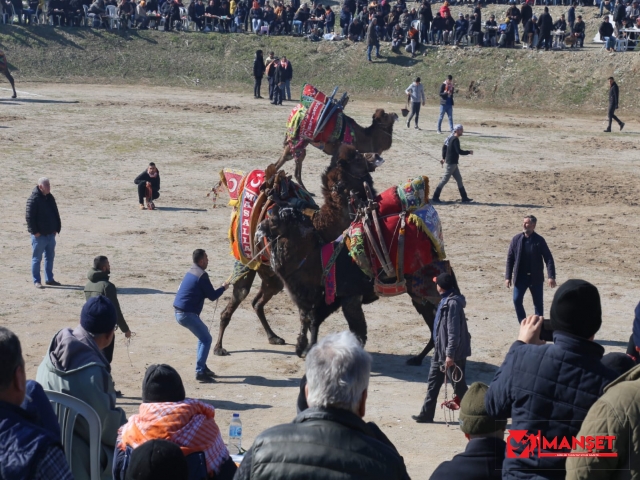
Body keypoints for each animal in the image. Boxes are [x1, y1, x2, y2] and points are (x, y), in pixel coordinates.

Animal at [215, 148, 384, 358]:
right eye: (358, 158)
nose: (377, 155)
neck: (320, 229)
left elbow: (313, 317)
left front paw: (307, 347)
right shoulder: (301, 282)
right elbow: (307, 316)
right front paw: (302, 347)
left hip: (270, 275)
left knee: (257, 302)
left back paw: (273, 337)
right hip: (246, 265)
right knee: (234, 303)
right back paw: (219, 347)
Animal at [255, 195, 456, 364]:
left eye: (273, 219)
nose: (258, 229)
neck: (317, 261)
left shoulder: (348, 296)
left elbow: (357, 331)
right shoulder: (329, 297)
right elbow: (312, 320)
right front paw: (303, 348)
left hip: (428, 291)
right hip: (419, 297)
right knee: (433, 325)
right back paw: (418, 359)